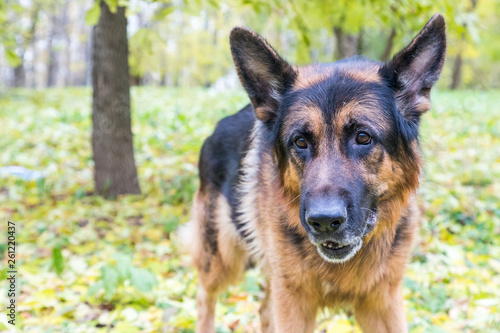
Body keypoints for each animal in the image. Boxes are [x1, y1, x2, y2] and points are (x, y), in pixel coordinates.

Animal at [186, 13, 448, 332]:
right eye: (300, 142)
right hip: (222, 259)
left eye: (363, 137)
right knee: (204, 298)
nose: (323, 221)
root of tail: (216, 130)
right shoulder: (292, 303)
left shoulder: (383, 303)